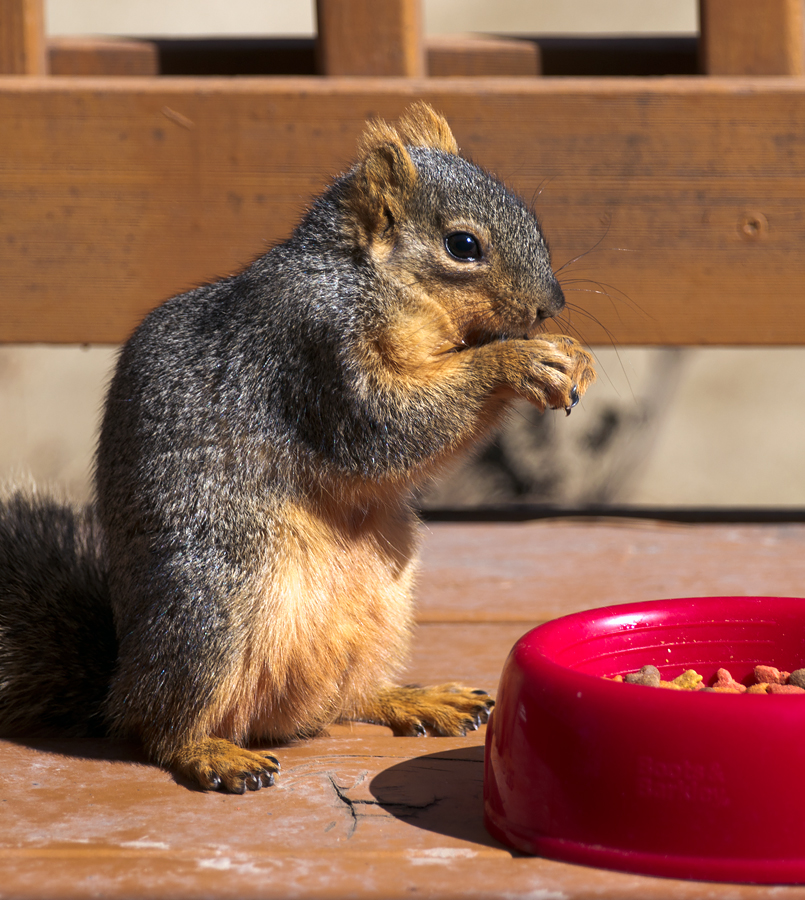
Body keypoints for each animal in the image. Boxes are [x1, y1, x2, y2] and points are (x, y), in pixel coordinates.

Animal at [0, 107, 592, 796]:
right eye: (463, 246)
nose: (550, 306)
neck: (366, 281)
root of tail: (119, 679)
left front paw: (571, 353)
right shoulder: (315, 354)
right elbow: (392, 426)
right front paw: (518, 360)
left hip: (380, 606)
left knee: (346, 701)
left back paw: (414, 698)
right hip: (215, 605)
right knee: (155, 727)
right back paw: (209, 753)